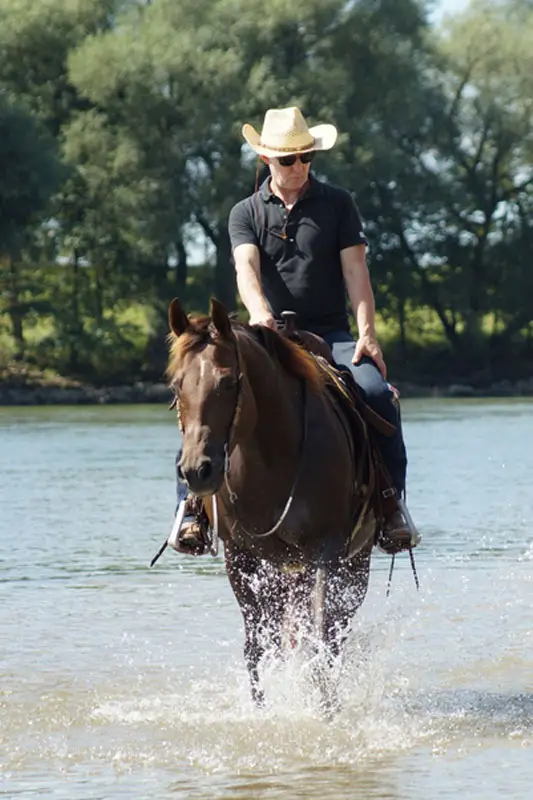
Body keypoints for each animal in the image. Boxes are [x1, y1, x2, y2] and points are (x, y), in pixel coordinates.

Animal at [166, 296, 377, 712]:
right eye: (176, 384)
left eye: (229, 381)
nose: (197, 470)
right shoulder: (241, 555)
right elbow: (257, 645)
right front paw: (262, 708)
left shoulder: (326, 549)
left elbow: (321, 633)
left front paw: (325, 708)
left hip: (353, 562)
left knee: (335, 631)